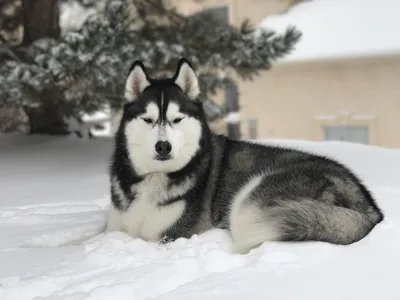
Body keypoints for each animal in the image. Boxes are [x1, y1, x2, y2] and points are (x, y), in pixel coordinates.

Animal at [107, 58, 384, 253]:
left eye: (177, 119)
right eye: (148, 119)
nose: (163, 146)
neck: (154, 177)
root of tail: (371, 209)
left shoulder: (169, 235)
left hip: (251, 203)